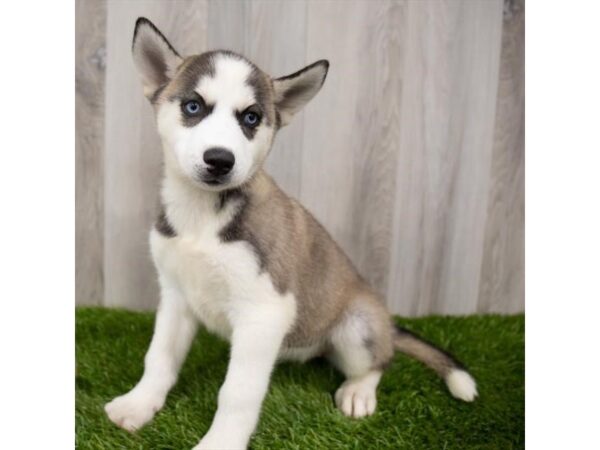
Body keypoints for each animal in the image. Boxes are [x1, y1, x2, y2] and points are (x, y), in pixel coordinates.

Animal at [104, 17, 478, 450]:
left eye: (251, 118)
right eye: (193, 106)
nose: (219, 160)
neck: (203, 215)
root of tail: (386, 323)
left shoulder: (265, 311)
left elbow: (237, 392)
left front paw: (220, 442)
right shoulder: (176, 296)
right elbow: (159, 358)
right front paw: (138, 404)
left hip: (357, 327)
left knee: (379, 362)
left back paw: (359, 391)